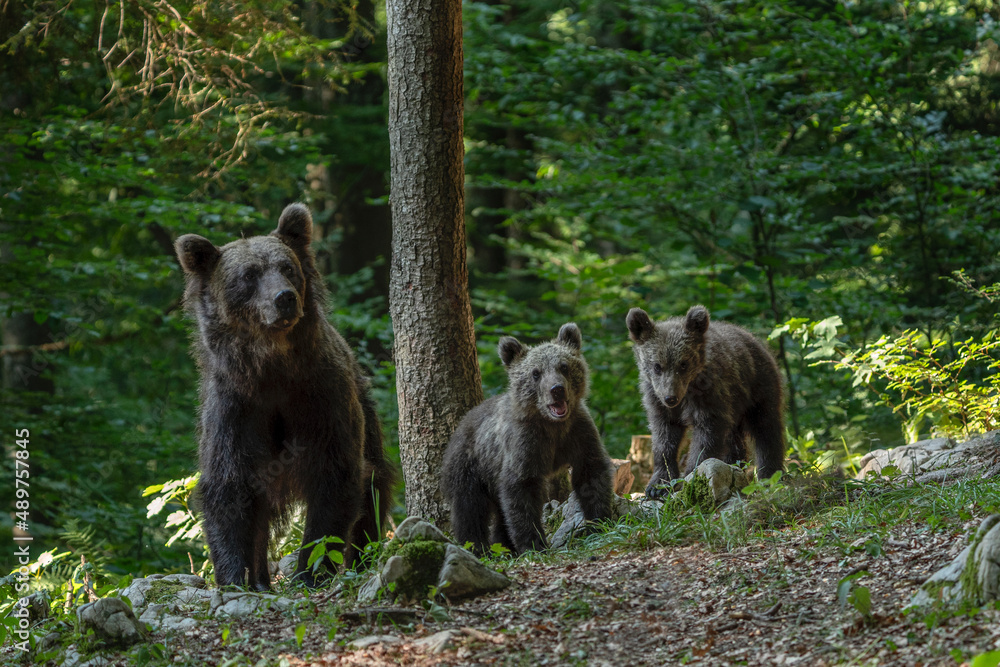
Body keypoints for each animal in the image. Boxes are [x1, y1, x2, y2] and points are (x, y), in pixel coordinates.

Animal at [175, 203, 394, 589]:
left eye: (287, 267)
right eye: (248, 275)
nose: (284, 298)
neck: (272, 370)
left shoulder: (320, 397)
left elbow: (335, 476)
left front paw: (311, 571)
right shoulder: (237, 407)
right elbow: (228, 487)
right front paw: (234, 575)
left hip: (364, 408)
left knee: (374, 485)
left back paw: (362, 557)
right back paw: (261, 578)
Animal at [442, 323, 614, 555]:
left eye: (564, 366)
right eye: (536, 373)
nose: (557, 390)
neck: (552, 426)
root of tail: (460, 424)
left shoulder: (578, 433)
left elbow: (591, 474)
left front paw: (600, 521)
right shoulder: (525, 444)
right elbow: (521, 490)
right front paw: (534, 543)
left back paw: (504, 545)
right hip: (471, 466)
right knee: (469, 508)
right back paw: (477, 546)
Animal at [626, 305, 785, 498]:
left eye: (683, 364)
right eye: (657, 366)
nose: (670, 398)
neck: (687, 392)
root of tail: (754, 338)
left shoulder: (709, 396)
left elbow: (706, 436)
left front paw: (691, 477)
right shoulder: (657, 402)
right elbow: (664, 438)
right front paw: (658, 484)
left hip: (758, 387)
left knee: (766, 429)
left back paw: (769, 475)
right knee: (733, 437)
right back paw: (733, 465)